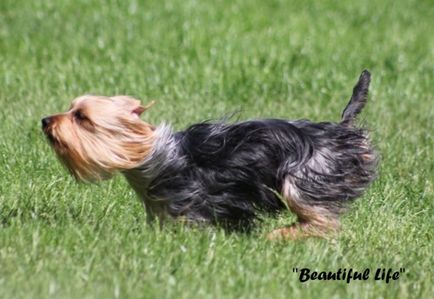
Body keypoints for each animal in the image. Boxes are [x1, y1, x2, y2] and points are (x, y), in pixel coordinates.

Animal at [43, 71, 376, 240]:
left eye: (81, 117)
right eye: (71, 109)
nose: (45, 120)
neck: (151, 156)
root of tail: (340, 131)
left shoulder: (193, 206)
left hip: (305, 176)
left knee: (321, 220)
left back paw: (279, 234)